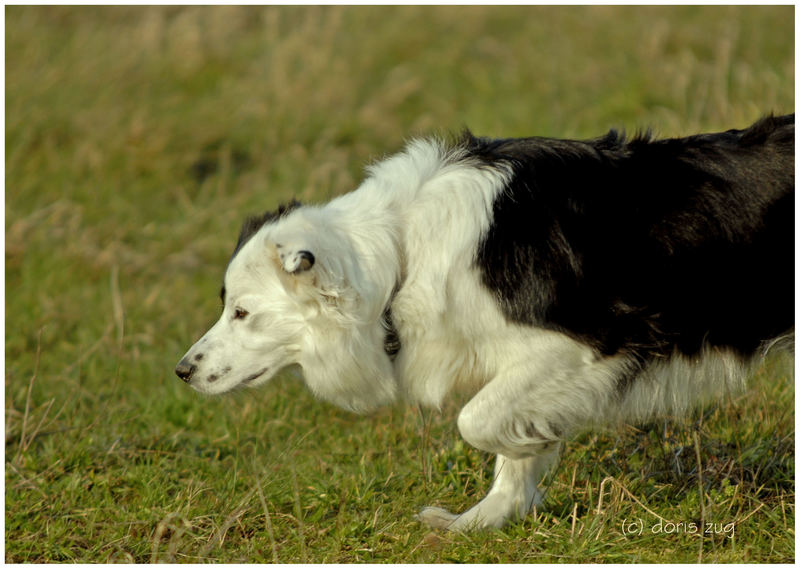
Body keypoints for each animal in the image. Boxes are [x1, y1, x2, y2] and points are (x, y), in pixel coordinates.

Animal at [175, 113, 792, 532]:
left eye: (241, 311)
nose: (182, 370)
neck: (400, 254)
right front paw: (484, 519)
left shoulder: (583, 346)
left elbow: (475, 419)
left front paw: (530, 443)